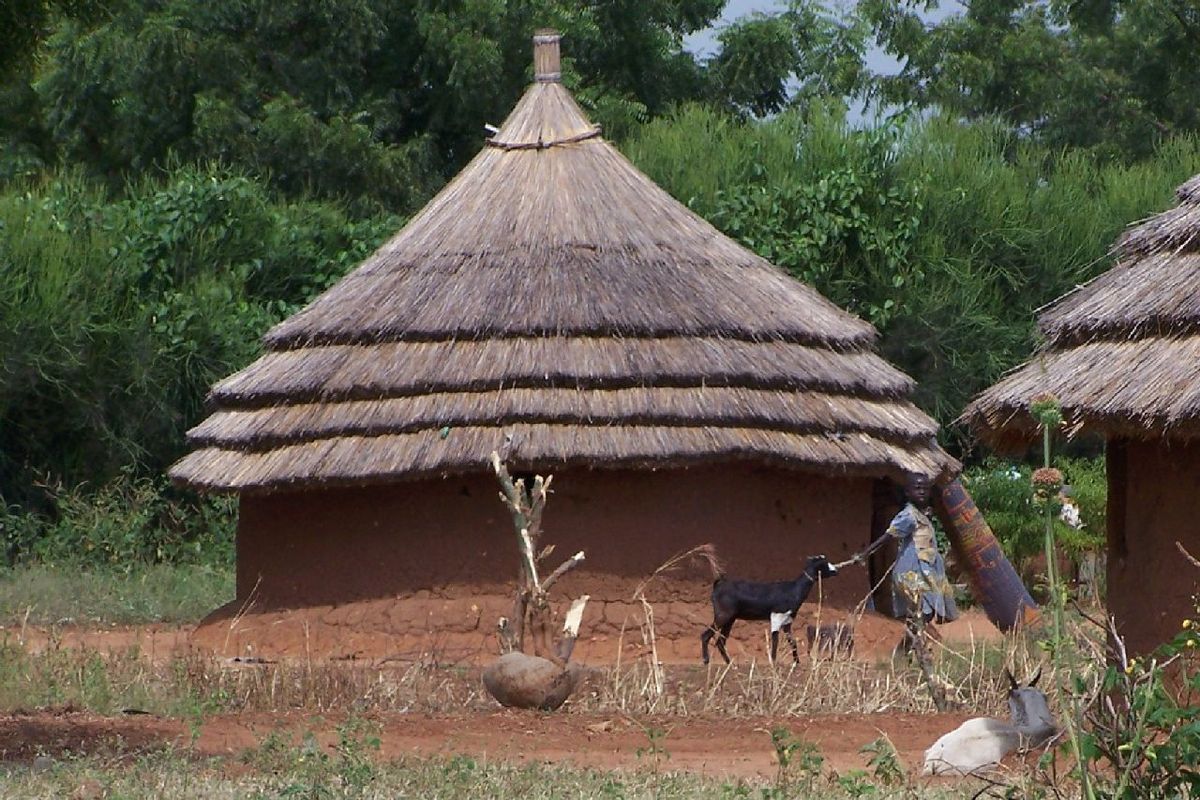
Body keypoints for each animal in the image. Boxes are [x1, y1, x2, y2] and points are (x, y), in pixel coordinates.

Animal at [700, 546, 840, 666]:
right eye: (824, 564)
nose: (836, 571)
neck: (793, 590)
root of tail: (718, 585)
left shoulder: (787, 622)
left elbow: (792, 642)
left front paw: (797, 662)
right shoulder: (777, 616)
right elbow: (775, 641)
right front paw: (773, 662)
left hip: (730, 619)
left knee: (720, 641)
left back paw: (730, 664)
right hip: (723, 615)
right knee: (706, 636)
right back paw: (707, 661)